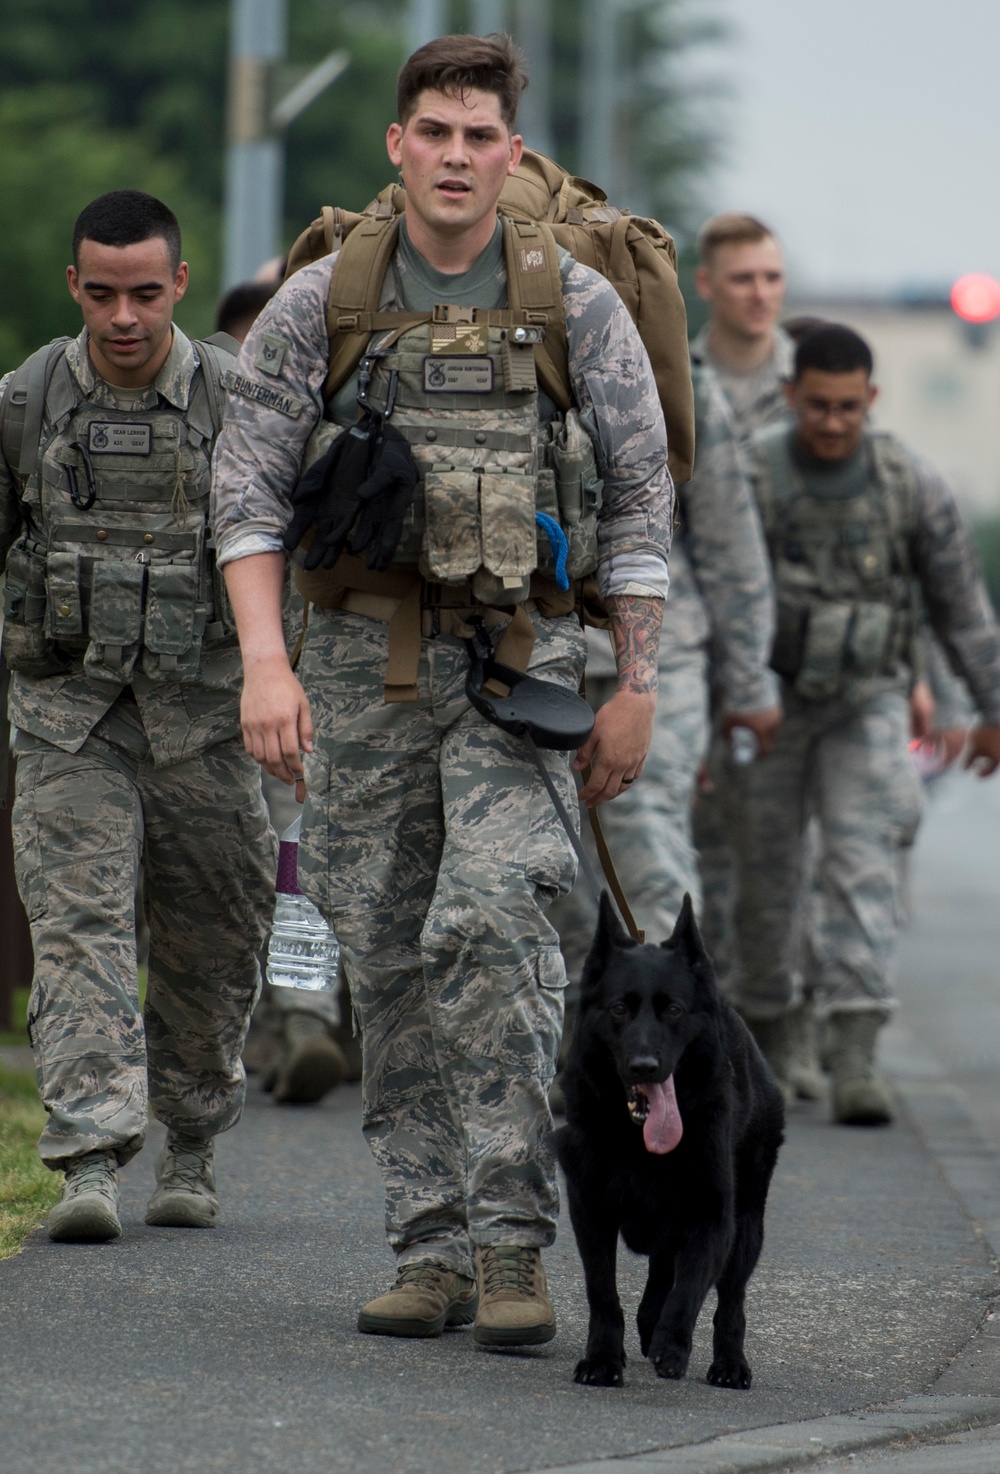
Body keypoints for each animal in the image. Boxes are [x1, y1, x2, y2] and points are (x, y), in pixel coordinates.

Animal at [557, 890, 784, 1385]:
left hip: (748, 1227)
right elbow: (603, 1292)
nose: (645, 1066)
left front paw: (673, 1345)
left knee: (729, 1302)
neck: (640, 1144)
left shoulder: (714, 1218)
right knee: (661, 1273)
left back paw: (729, 1363)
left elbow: (690, 1290)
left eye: (674, 1010)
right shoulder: (590, 1211)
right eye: (619, 1009)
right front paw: (603, 1358)